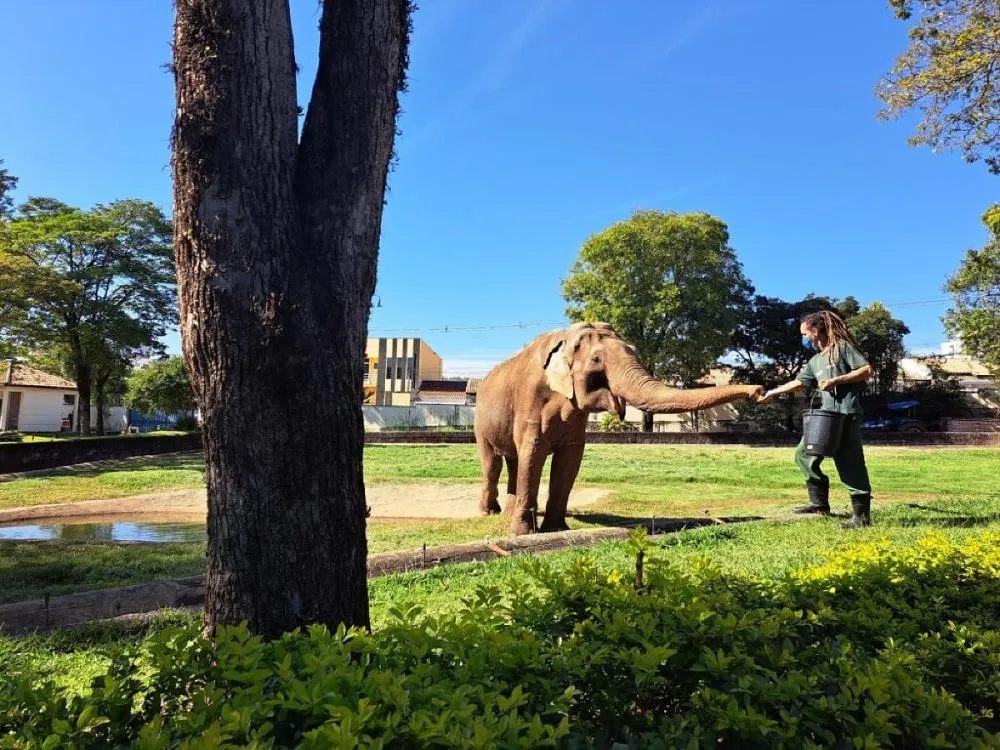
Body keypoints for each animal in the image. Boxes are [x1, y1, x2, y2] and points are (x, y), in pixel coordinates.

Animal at [474, 322, 764, 535]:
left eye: (634, 351)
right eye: (596, 359)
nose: (759, 391)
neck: (566, 337)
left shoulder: (576, 421)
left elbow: (569, 461)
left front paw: (556, 530)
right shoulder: (531, 398)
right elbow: (532, 454)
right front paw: (521, 534)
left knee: (514, 461)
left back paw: (508, 511)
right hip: (481, 423)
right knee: (493, 464)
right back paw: (489, 512)